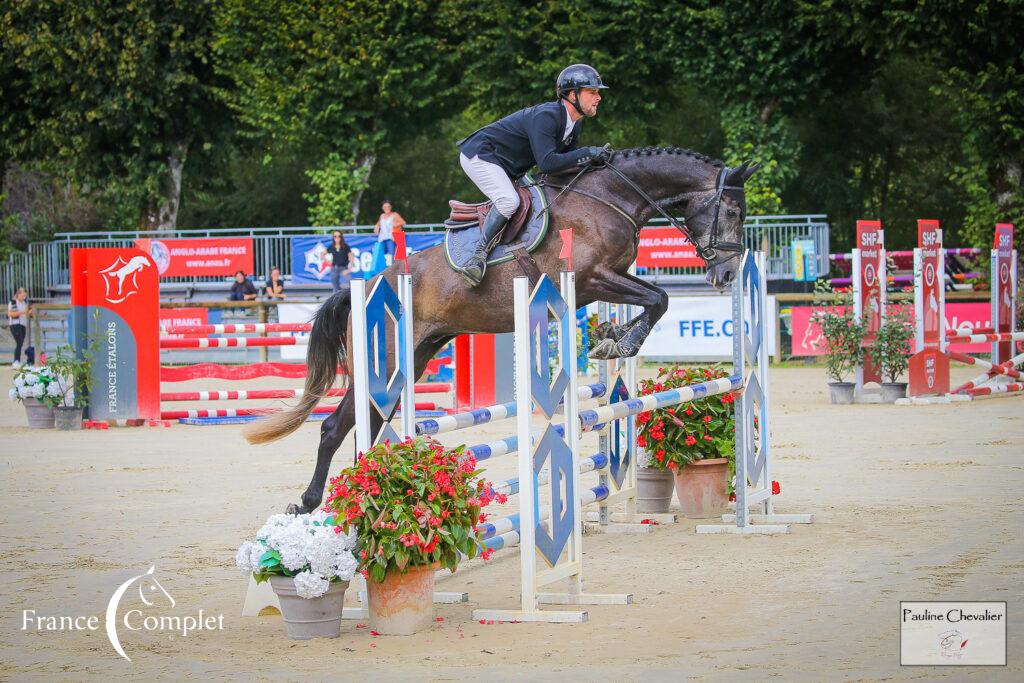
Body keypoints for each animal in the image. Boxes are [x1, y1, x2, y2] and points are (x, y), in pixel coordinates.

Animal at [245, 148, 761, 511]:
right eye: (734, 213)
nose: (726, 275)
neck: (614, 196)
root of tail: (364, 287)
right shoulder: (591, 278)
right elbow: (659, 298)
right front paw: (620, 343)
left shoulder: (607, 279)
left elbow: (655, 298)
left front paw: (610, 340)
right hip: (384, 364)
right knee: (334, 427)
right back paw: (311, 503)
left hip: (412, 361)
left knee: (366, 428)